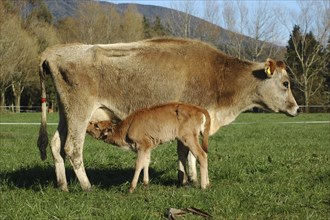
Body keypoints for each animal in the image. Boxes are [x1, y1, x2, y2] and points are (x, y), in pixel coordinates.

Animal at [36, 37, 300, 191]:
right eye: (286, 83)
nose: (296, 108)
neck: (221, 77)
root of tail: (55, 51)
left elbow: (185, 152)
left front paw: (186, 178)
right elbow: (189, 152)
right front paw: (191, 179)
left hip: (66, 113)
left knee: (56, 145)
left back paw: (62, 185)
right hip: (79, 111)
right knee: (72, 148)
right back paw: (87, 186)